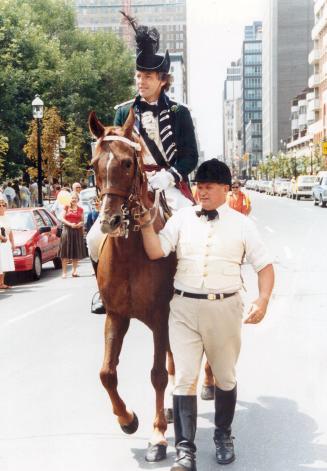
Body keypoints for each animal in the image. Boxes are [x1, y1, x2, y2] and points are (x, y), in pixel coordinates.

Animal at [88, 109, 177, 462]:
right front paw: (128, 420)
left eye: (128, 163)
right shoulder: (117, 316)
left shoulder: (160, 316)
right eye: (93, 164)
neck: (130, 253)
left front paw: (158, 437)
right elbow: (106, 373)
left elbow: (157, 375)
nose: (109, 221)